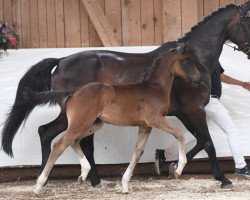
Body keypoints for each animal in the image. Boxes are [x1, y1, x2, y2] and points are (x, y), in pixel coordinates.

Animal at [24, 43, 201, 195]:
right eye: (186, 60)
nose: (199, 79)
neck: (154, 89)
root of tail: (73, 93)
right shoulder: (155, 120)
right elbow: (179, 133)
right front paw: (178, 170)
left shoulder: (145, 126)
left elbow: (138, 152)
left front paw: (125, 185)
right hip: (80, 123)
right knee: (59, 144)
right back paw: (39, 185)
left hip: (93, 124)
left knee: (74, 141)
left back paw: (83, 173)